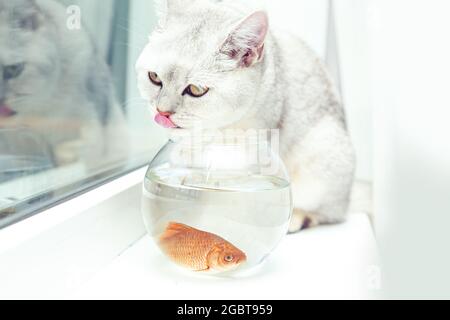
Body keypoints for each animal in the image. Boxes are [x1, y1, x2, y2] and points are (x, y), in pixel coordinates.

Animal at [137, 0, 356, 231]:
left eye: (196, 90)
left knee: (326, 212)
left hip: (325, 154)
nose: (162, 111)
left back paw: (296, 218)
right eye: (154, 77)